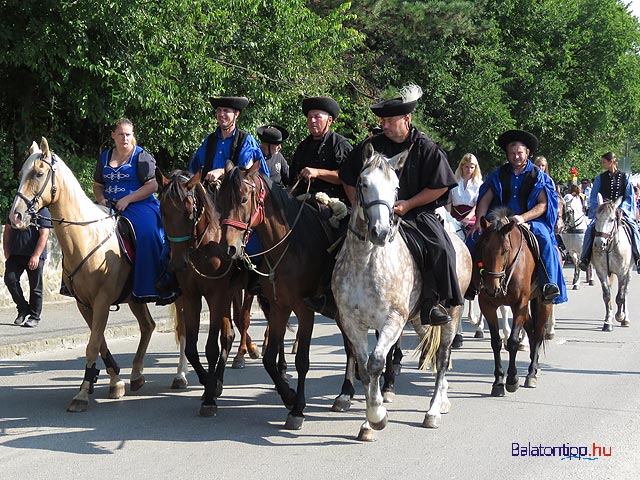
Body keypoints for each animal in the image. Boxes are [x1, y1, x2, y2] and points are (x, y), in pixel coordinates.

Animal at [9, 137, 188, 410]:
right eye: (21, 173)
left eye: (39, 173)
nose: (15, 216)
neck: (86, 237)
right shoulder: (85, 304)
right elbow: (100, 341)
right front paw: (115, 381)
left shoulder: (102, 300)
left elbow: (93, 345)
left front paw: (82, 394)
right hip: (136, 297)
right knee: (148, 326)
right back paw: (136, 375)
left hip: (182, 294)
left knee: (184, 330)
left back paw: (180, 375)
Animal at [215, 159, 340, 430]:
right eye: (219, 200)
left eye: (243, 199)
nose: (229, 248)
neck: (289, 245)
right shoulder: (279, 306)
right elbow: (269, 358)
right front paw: (288, 396)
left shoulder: (305, 309)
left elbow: (302, 360)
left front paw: (298, 409)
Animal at [332, 144, 472, 440]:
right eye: (363, 183)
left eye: (396, 188)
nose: (380, 232)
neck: (366, 261)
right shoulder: (351, 322)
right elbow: (364, 368)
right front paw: (368, 422)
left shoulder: (393, 319)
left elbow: (376, 363)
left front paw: (377, 417)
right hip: (420, 319)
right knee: (432, 351)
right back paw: (443, 398)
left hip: (451, 315)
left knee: (442, 357)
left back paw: (433, 410)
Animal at [476, 208, 552, 396]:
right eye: (482, 247)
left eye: (505, 250)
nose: (492, 288)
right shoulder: (487, 306)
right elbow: (496, 342)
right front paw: (498, 381)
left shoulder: (520, 304)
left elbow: (512, 342)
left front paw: (512, 379)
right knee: (532, 331)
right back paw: (534, 364)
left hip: (543, 303)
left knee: (538, 333)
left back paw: (532, 372)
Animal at [592, 198, 632, 330]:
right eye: (596, 217)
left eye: (612, 219)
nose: (599, 243)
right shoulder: (601, 272)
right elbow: (607, 295)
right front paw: (608, 321)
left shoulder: (622, 273)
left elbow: (620, 296)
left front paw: (620, 316)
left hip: (629, 271)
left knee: (625, 292)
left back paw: (626, 318)